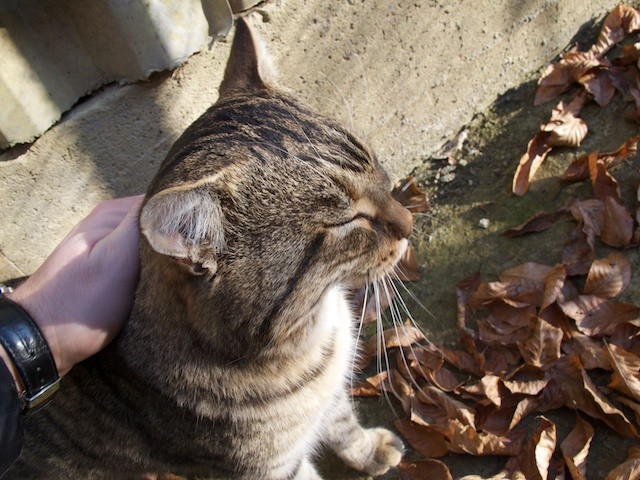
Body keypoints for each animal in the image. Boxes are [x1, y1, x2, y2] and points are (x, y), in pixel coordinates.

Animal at [6, 16, 411, 480]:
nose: (410, 223)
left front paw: (370, 449)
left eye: (374, 164)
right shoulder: (272, 469)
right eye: (347, 221)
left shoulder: (328, 404)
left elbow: (342, 421)